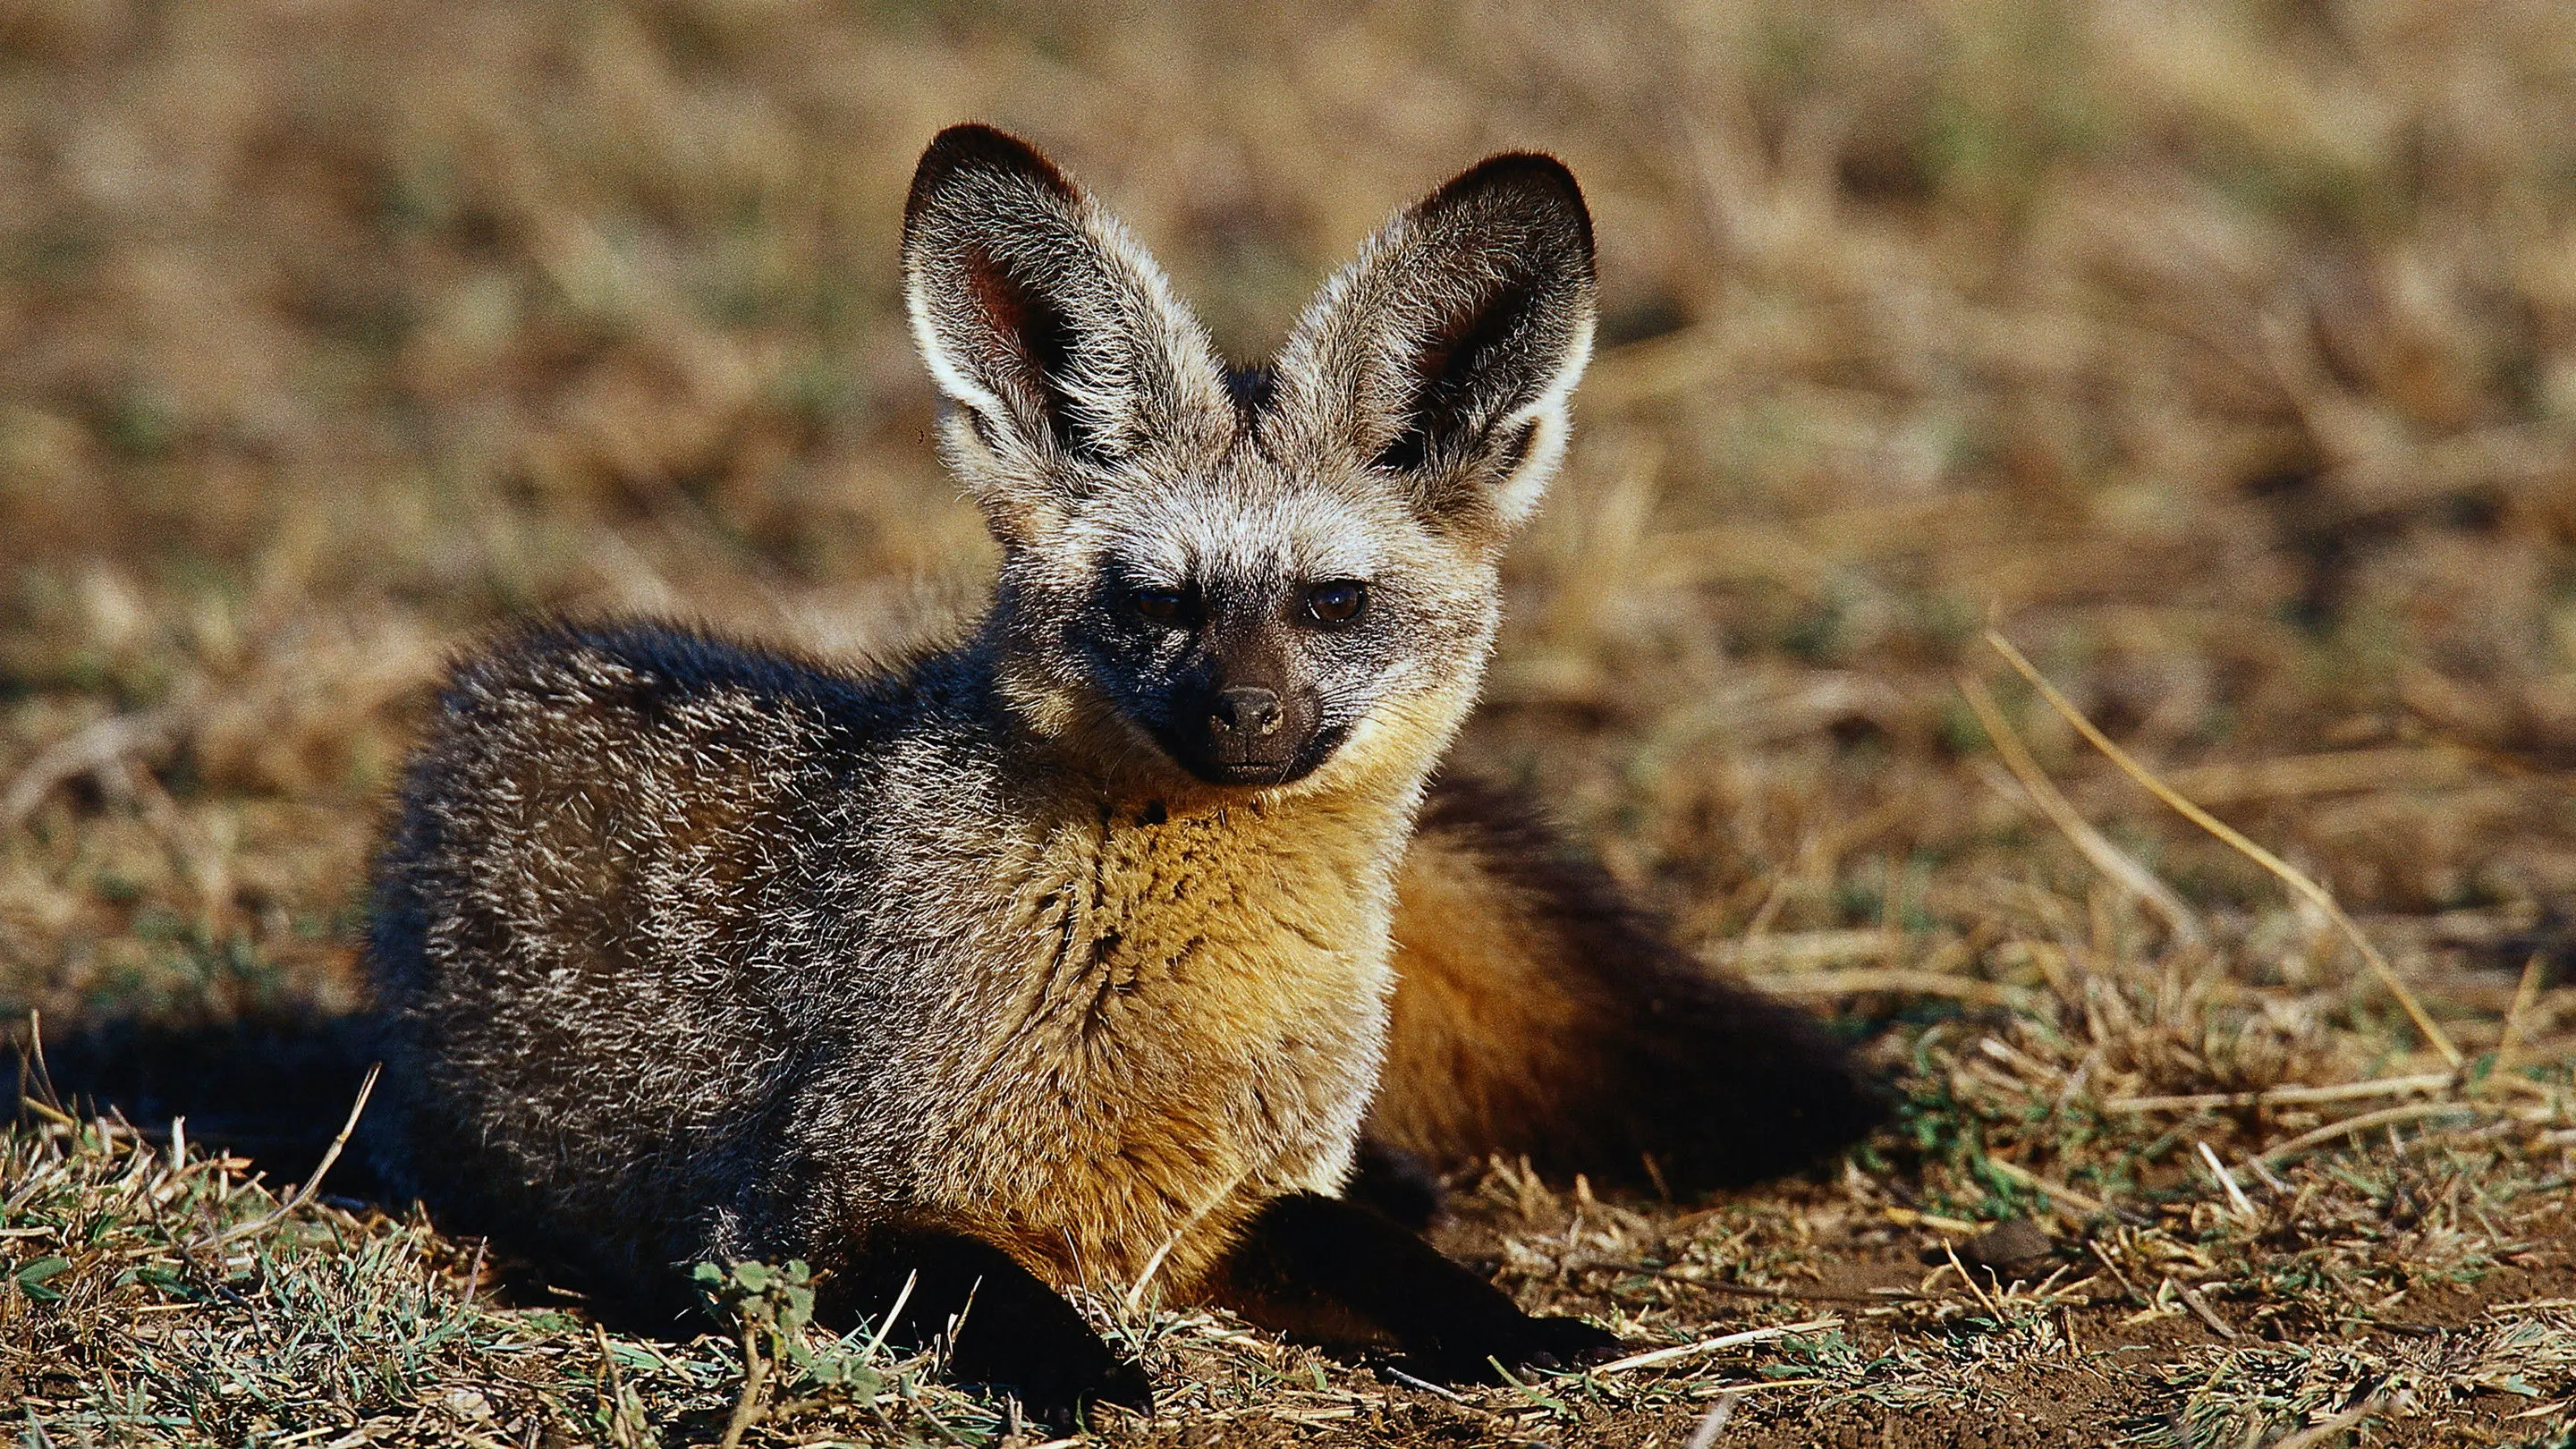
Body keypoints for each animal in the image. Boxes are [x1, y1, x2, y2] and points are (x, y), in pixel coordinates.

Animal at [364, 123, 1884, 1426]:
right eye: (1159, 603)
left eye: (1333, 603)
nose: (1245, 715)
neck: (1187, 995)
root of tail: (503, 677)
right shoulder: (791, 1217)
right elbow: (982, 1289)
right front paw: (1091, 1373)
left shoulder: (1231, 1204)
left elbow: (1380, 1257)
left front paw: (1515, 1330)